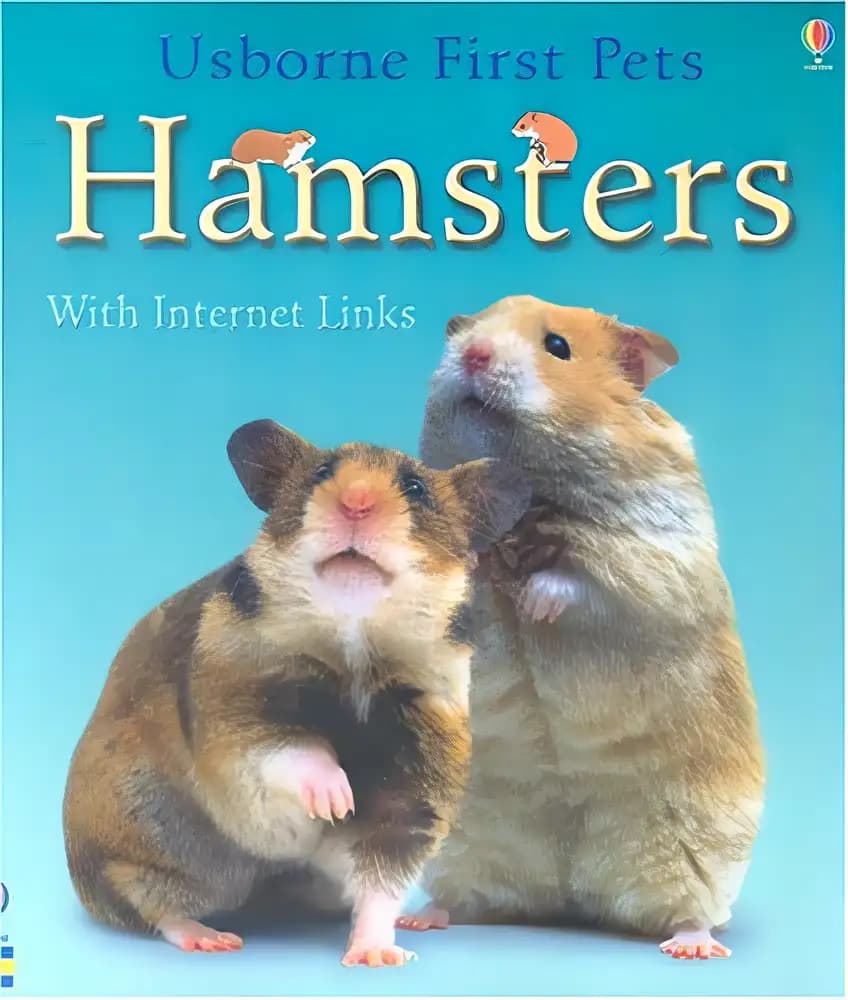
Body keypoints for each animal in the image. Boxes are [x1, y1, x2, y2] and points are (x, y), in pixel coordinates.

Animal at [63, 419, 529, 967]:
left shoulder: (417, 785)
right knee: (153, 903)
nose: (355, 502)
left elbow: (382, 883)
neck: (355, 641)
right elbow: (297, 751)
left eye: (415, 488)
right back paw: (212, 939)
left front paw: (378, 956)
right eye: (321, 473)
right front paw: (338, 801)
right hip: (141, 846)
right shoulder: (238, 722)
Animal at [404, 296, 764, 960]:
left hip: (697, 847)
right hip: (461, 840)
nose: (474, 354)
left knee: (688, 911)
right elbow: (467, 588)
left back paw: (692, 946)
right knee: (469, 900)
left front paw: (537, 603)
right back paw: (422, 919)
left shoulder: (658, 559)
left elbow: (584, 581)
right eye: (464, 331)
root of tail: (572, 891)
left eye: (558, 347)